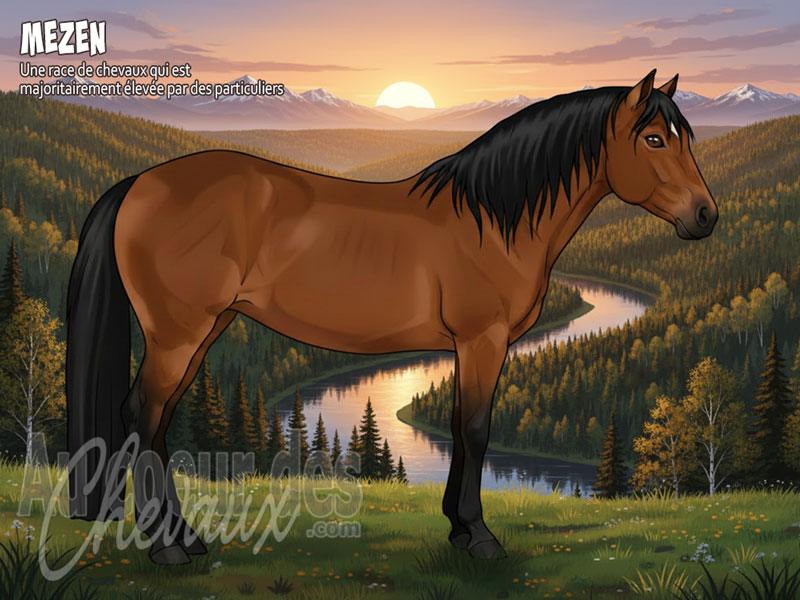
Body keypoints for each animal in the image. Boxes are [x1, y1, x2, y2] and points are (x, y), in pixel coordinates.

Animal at [66, 69, 716, 564]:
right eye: (654, 139)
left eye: (683, 135)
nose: (706, 216)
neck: (493, 218)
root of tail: (139, 182)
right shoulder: (483, 340)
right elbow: (476, 429)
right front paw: (481, 537)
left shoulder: (466, 347)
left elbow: (456, 425)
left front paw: (457, 528)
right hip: (179, 333)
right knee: (143, 416)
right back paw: (168, 548)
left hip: (205, 330)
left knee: (159, 421)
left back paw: (184, 537)